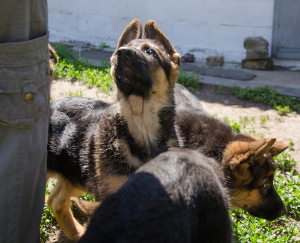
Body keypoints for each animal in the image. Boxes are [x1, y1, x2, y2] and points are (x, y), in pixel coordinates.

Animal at [46, 19, 180, 241]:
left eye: (151, 52)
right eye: (120, 51)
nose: (123, 53)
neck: (141, 126)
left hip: (75, 173)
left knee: (55, 201)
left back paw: (77, 233)